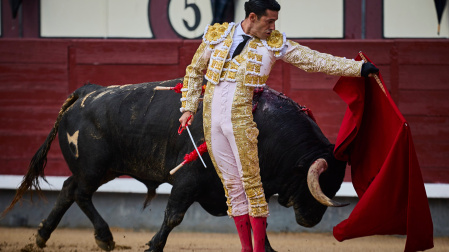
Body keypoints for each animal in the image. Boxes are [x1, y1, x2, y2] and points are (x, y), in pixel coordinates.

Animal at [4, 78, 346, 251]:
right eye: (317, 184)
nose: (312, 220)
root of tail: (88, 91)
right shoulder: (189, 180)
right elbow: (173, 216)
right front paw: (153, 246)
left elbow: (253, 219)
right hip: (94, 168)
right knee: (80, 193)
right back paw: (105, 237)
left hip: (102, 170)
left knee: (67, 189)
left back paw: (42, 236)